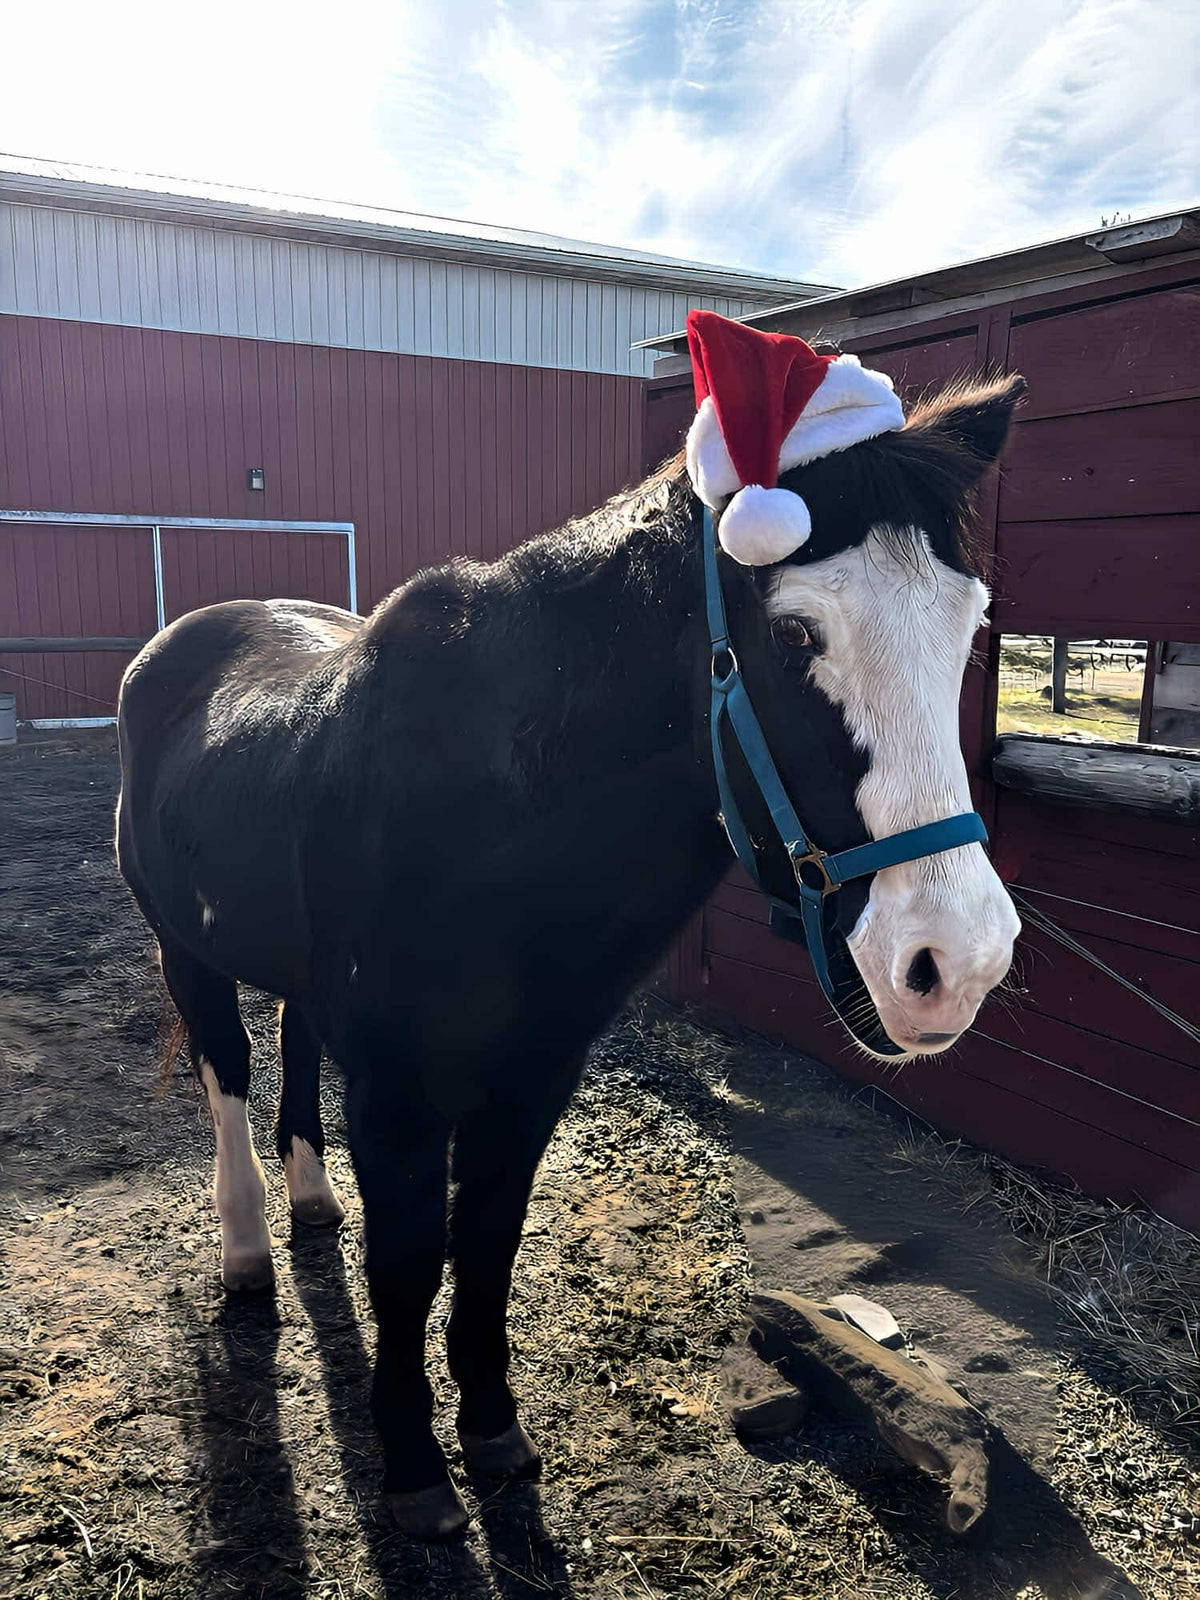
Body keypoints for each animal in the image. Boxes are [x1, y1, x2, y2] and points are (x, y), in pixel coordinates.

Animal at [115, 367, 1024, 1538]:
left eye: (968, 625)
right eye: (794, 637)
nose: (958, 962)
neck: (490, 819)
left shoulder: (533, 1076)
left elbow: (486, 1247)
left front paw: (493, 1432)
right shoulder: (398, 1094)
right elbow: (407, 1265)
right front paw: (414, 1468)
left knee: (293, 1041)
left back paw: (309, 1199)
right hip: (184, 948)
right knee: (227, 1071)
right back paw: (245, 1253)